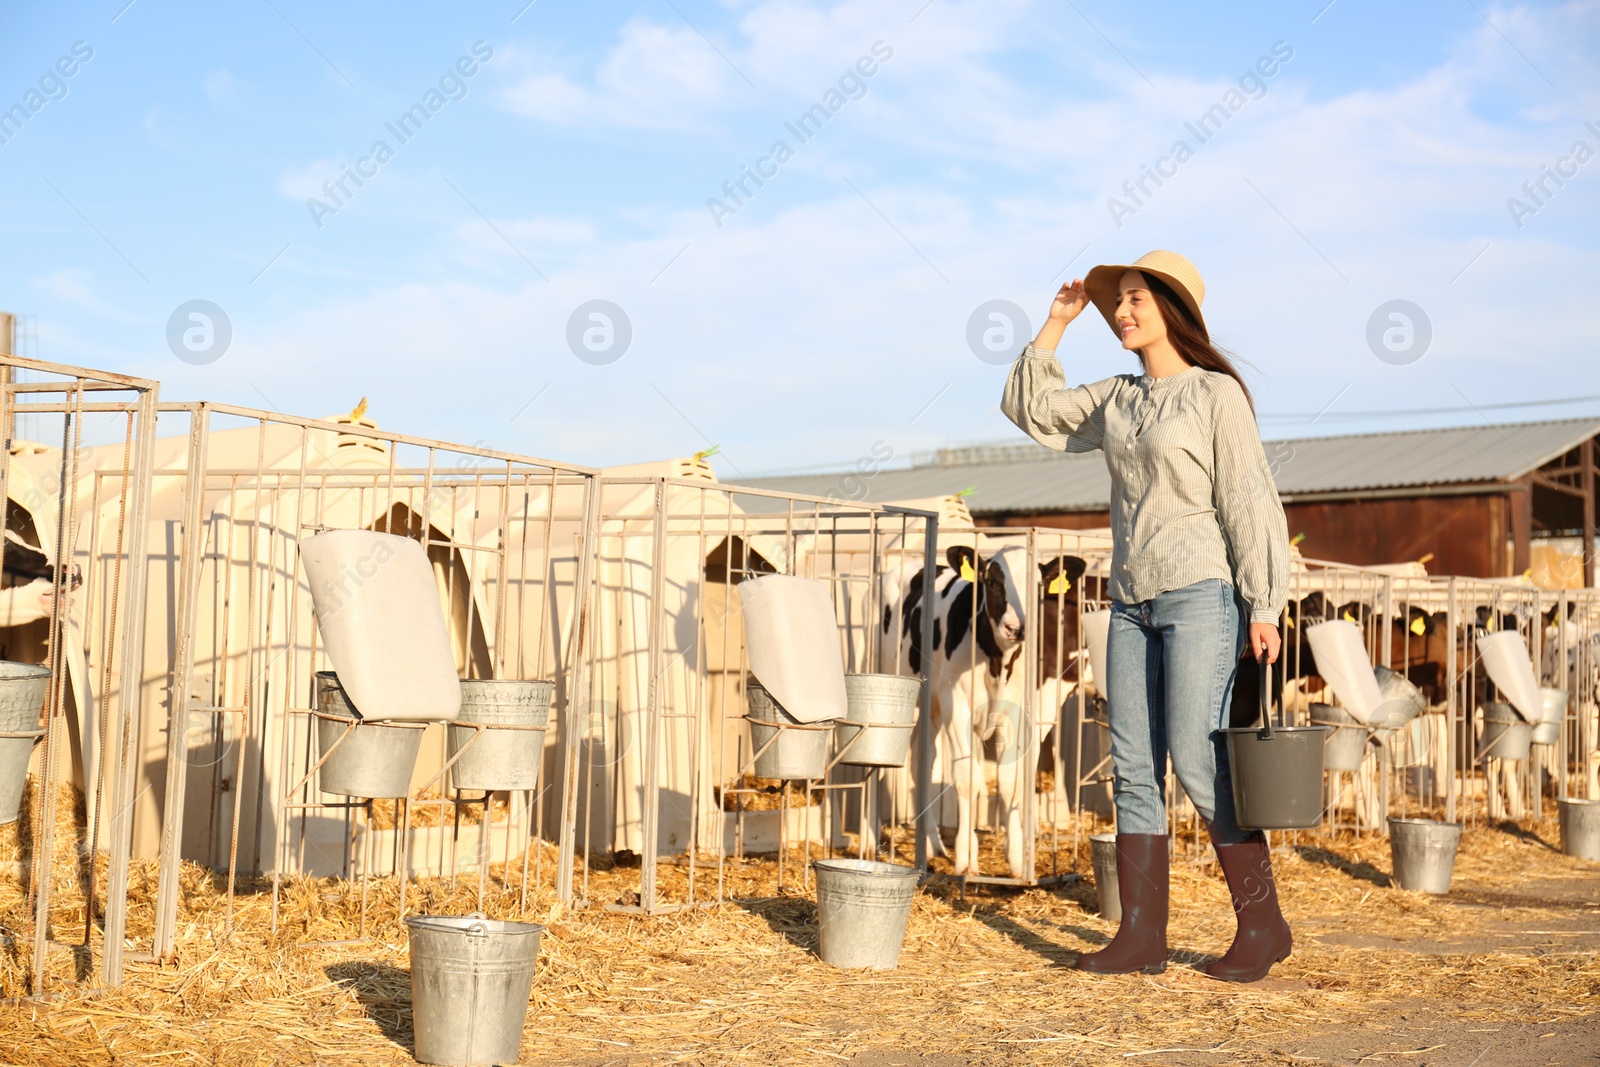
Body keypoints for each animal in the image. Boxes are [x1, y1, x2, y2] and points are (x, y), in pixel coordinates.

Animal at [876, 547, 1088, 883]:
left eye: (1038, 586)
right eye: (992, 583)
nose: (1016, 628)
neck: (998, 663)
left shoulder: (1019, 714)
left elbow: (1011, 781)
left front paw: (1017, 861)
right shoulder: (957, 705)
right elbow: (966, 778)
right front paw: (966, 860)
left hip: (933, 708)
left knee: (923, 757)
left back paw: (932, 843)